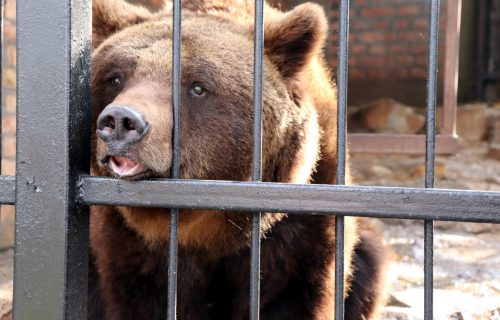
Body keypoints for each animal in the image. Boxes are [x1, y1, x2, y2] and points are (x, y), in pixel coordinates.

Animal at [89, 0, 386, 320]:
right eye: (115, 77)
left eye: (198, 86)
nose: (120, 121)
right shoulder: (128, 243)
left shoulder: (303, 225)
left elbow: (297, 295)